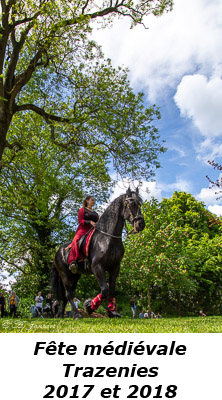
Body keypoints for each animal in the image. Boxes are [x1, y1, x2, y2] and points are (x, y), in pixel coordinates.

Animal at [51, 188, 146, 318]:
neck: (108, 238)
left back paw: (61, 314)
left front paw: (112, 312)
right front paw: (89, 307)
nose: (141, 224)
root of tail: (57, 252)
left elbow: (111, 290)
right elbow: (105, 290)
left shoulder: (115, 267)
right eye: (130, 204)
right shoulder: (97, 267)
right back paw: (76, 314)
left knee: (66, 295)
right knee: (69, 293)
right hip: (64, 274)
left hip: (75, 275)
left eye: (140, 204)